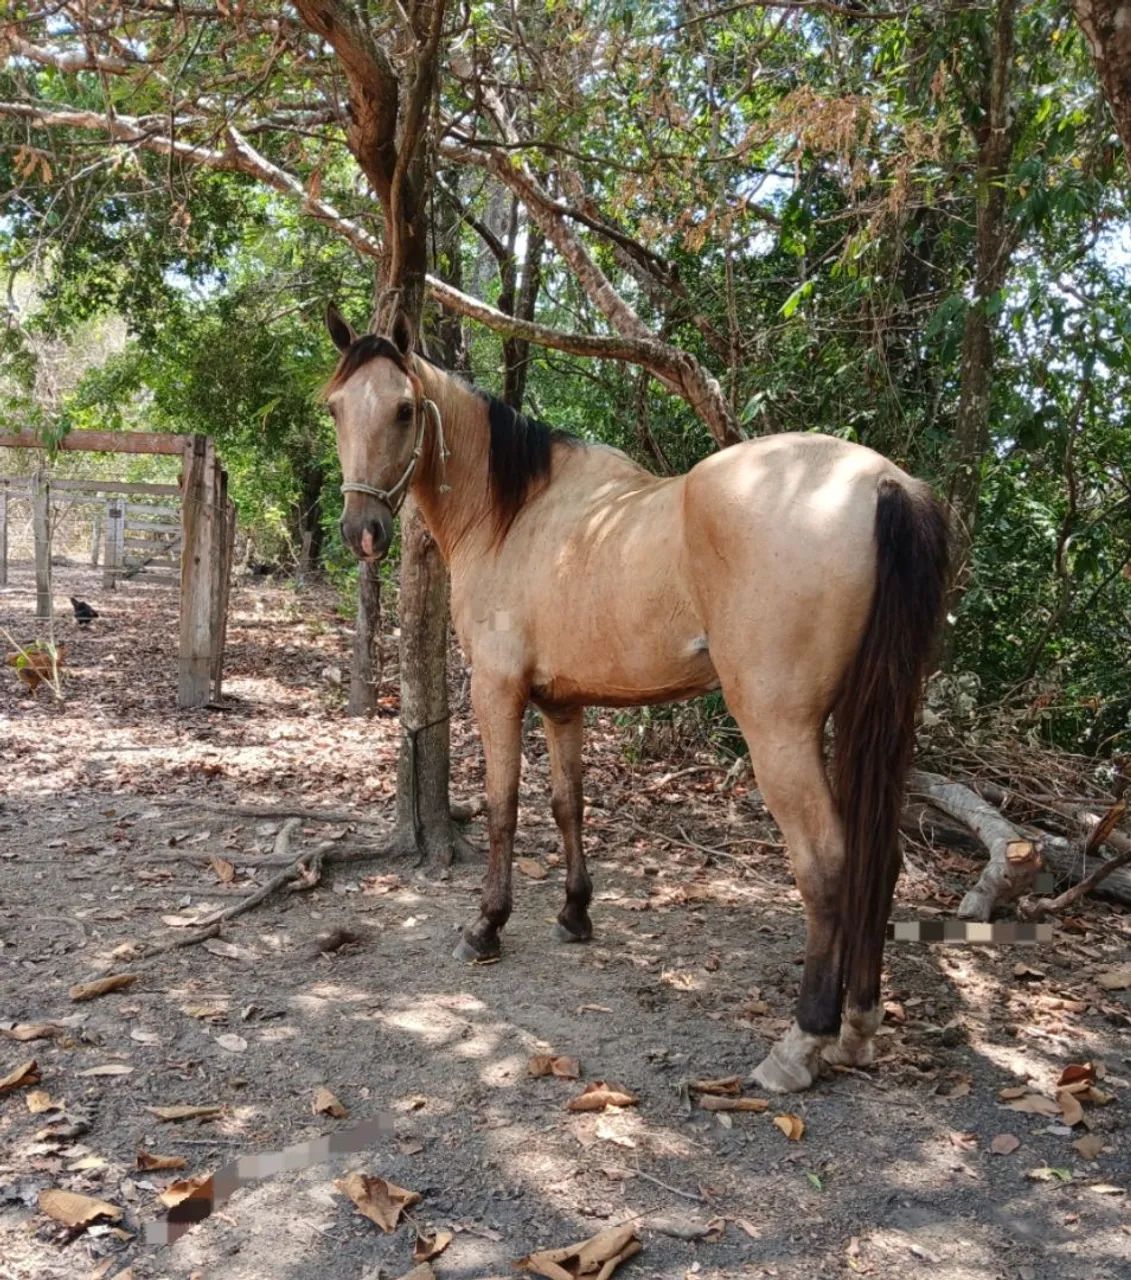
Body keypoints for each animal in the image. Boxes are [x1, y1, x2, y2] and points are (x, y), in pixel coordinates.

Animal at [322, 305, 950, 1093]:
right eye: (335, 407)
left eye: (404, 409)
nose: (363, 532)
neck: (513, 515)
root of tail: (882, 482)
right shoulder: (562, 704)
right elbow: (568, 805)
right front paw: (574, 914)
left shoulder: (497, 691)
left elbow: (503, 808)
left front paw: (486, 926)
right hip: (878, 719)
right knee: (880, 856)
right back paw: (860, 1028)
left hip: (779, 730)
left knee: (827, 865)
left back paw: (802, 1042)